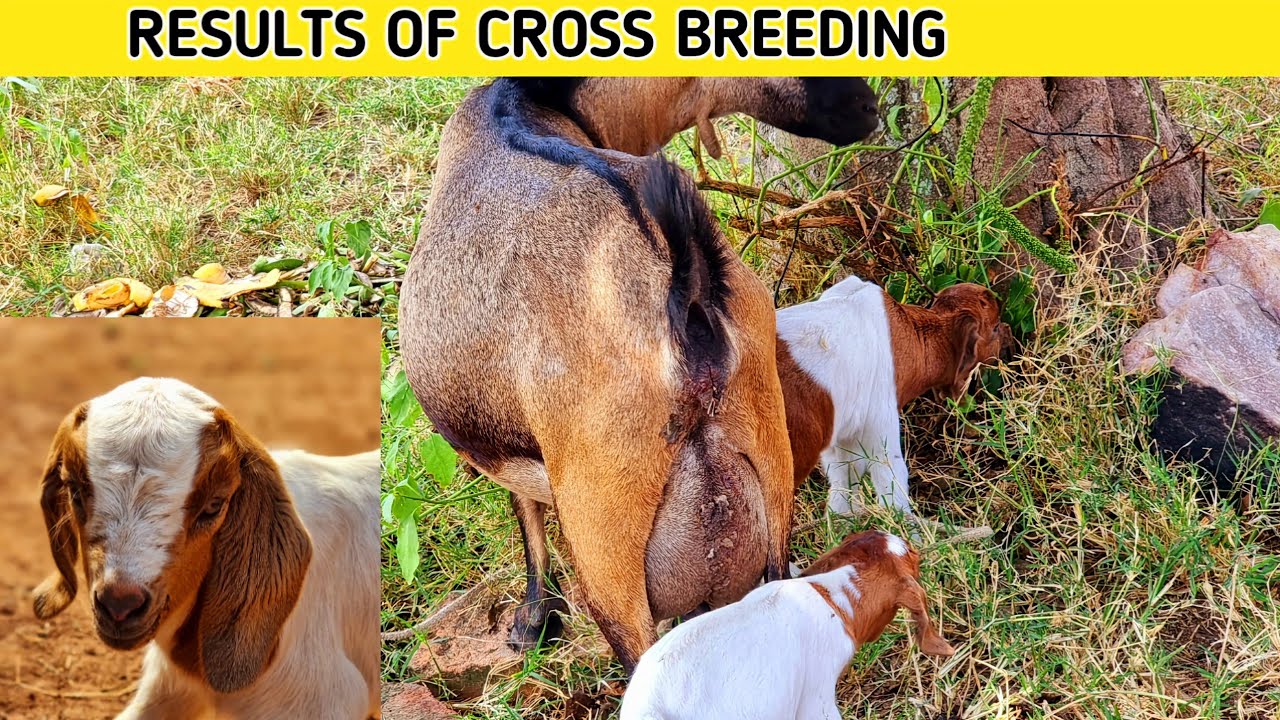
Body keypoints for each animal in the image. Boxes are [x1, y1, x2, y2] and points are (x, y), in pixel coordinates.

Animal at [399, 77, 879, 670]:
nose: (868, 108)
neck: (527, 103)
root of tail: (684, 306)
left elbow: (525, 512)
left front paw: (532, 622)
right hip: (770, 469)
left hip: (606, 538)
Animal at [777, 277, 1010, 516]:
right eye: (994, 327)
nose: (1008, 330)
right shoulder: (880, 420)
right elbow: (891, 480)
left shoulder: (842, 434)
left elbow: (844, 483)